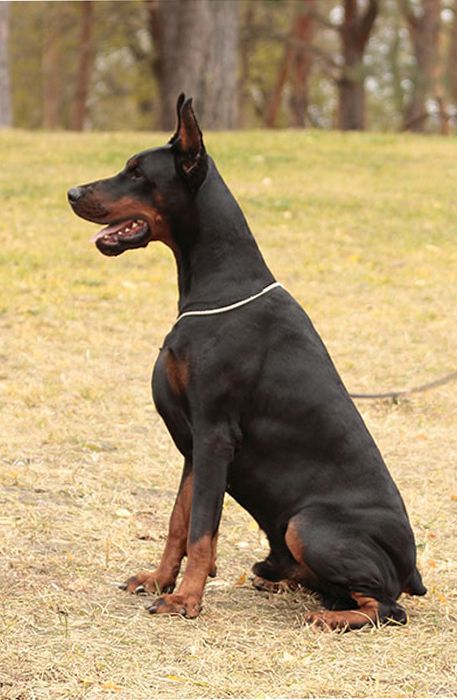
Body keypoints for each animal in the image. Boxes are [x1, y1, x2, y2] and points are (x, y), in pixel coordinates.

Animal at [68, 94, 426, 630]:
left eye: (136, 172)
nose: (71, 192)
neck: (219, 285)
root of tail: (413, 568)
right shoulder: (193, 443)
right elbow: (179, 521)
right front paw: (160, 580)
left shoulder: (216, 434)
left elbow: (201, 530)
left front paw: (186, 600)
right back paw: (281, 581)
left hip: (308, 523)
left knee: (387, 607)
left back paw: (329, 616)